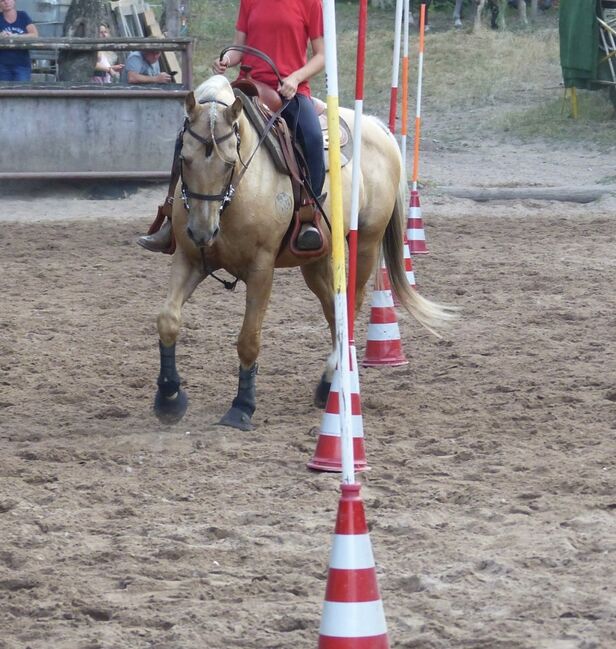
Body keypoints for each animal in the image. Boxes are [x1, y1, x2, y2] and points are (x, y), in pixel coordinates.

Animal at [154, 74, 452, 430]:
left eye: (229, 164)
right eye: (184, 159)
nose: (202, 231)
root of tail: (378, 127)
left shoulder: (261, 269)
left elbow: (248, 339)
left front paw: (242, 406)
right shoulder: (189, 258)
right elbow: (168, 319)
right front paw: (169, 397)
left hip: (366, 245)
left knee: (351, 306)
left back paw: (333, 381)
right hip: (317, 260)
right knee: (334, 310)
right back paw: (331, 382)